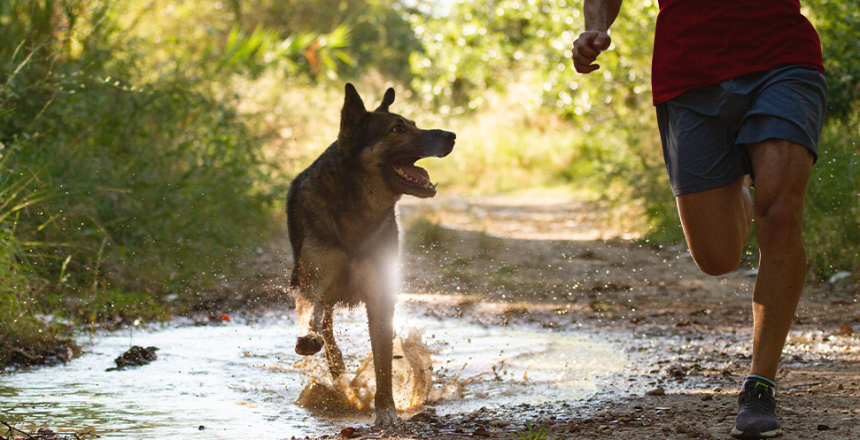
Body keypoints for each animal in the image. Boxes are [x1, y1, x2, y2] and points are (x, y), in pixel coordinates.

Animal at [286, 83, 454, 426]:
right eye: (397, 129)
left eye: (414, 124)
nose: (451, 135)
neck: (358, 211)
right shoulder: (313, 282)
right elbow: (310, 315)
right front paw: (307, 338)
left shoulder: (380, 295)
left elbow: (383, 363)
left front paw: (387, 411)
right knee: (327, 329)